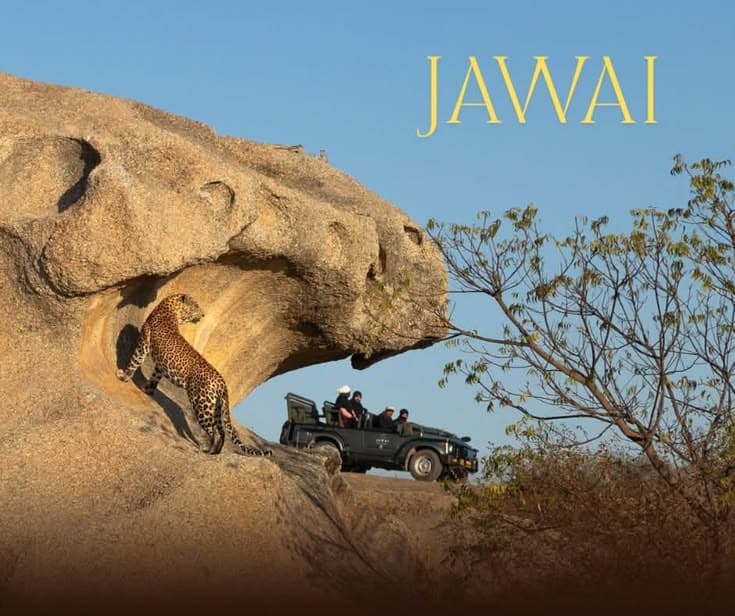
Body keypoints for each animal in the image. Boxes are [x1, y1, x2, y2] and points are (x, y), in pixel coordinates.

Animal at [117, 293, 272, 457]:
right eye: (196, 305)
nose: (203, 315)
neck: (171, 311)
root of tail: (222, 382)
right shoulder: (159, 365)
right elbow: (154, 378)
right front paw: (147, 390)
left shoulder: (143, 345)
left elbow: (133, 363)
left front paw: (122, 376)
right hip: (216, 407)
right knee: (222, 431)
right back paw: (215, 452)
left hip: (202, 404)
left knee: (212, 431)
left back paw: (206, 449)